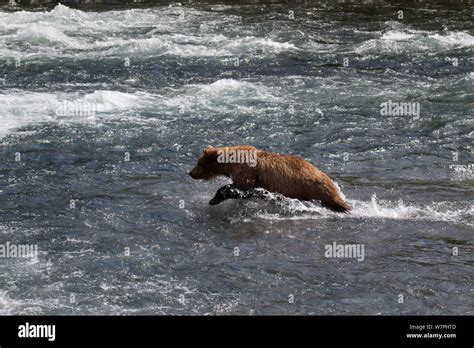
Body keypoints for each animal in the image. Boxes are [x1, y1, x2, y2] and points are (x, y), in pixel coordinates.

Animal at [190, 145, 352, 212]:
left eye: (198, 162)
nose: (191, 173)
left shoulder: (247, 173)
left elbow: (239, 187)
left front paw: (214, 199)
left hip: (309, 187)